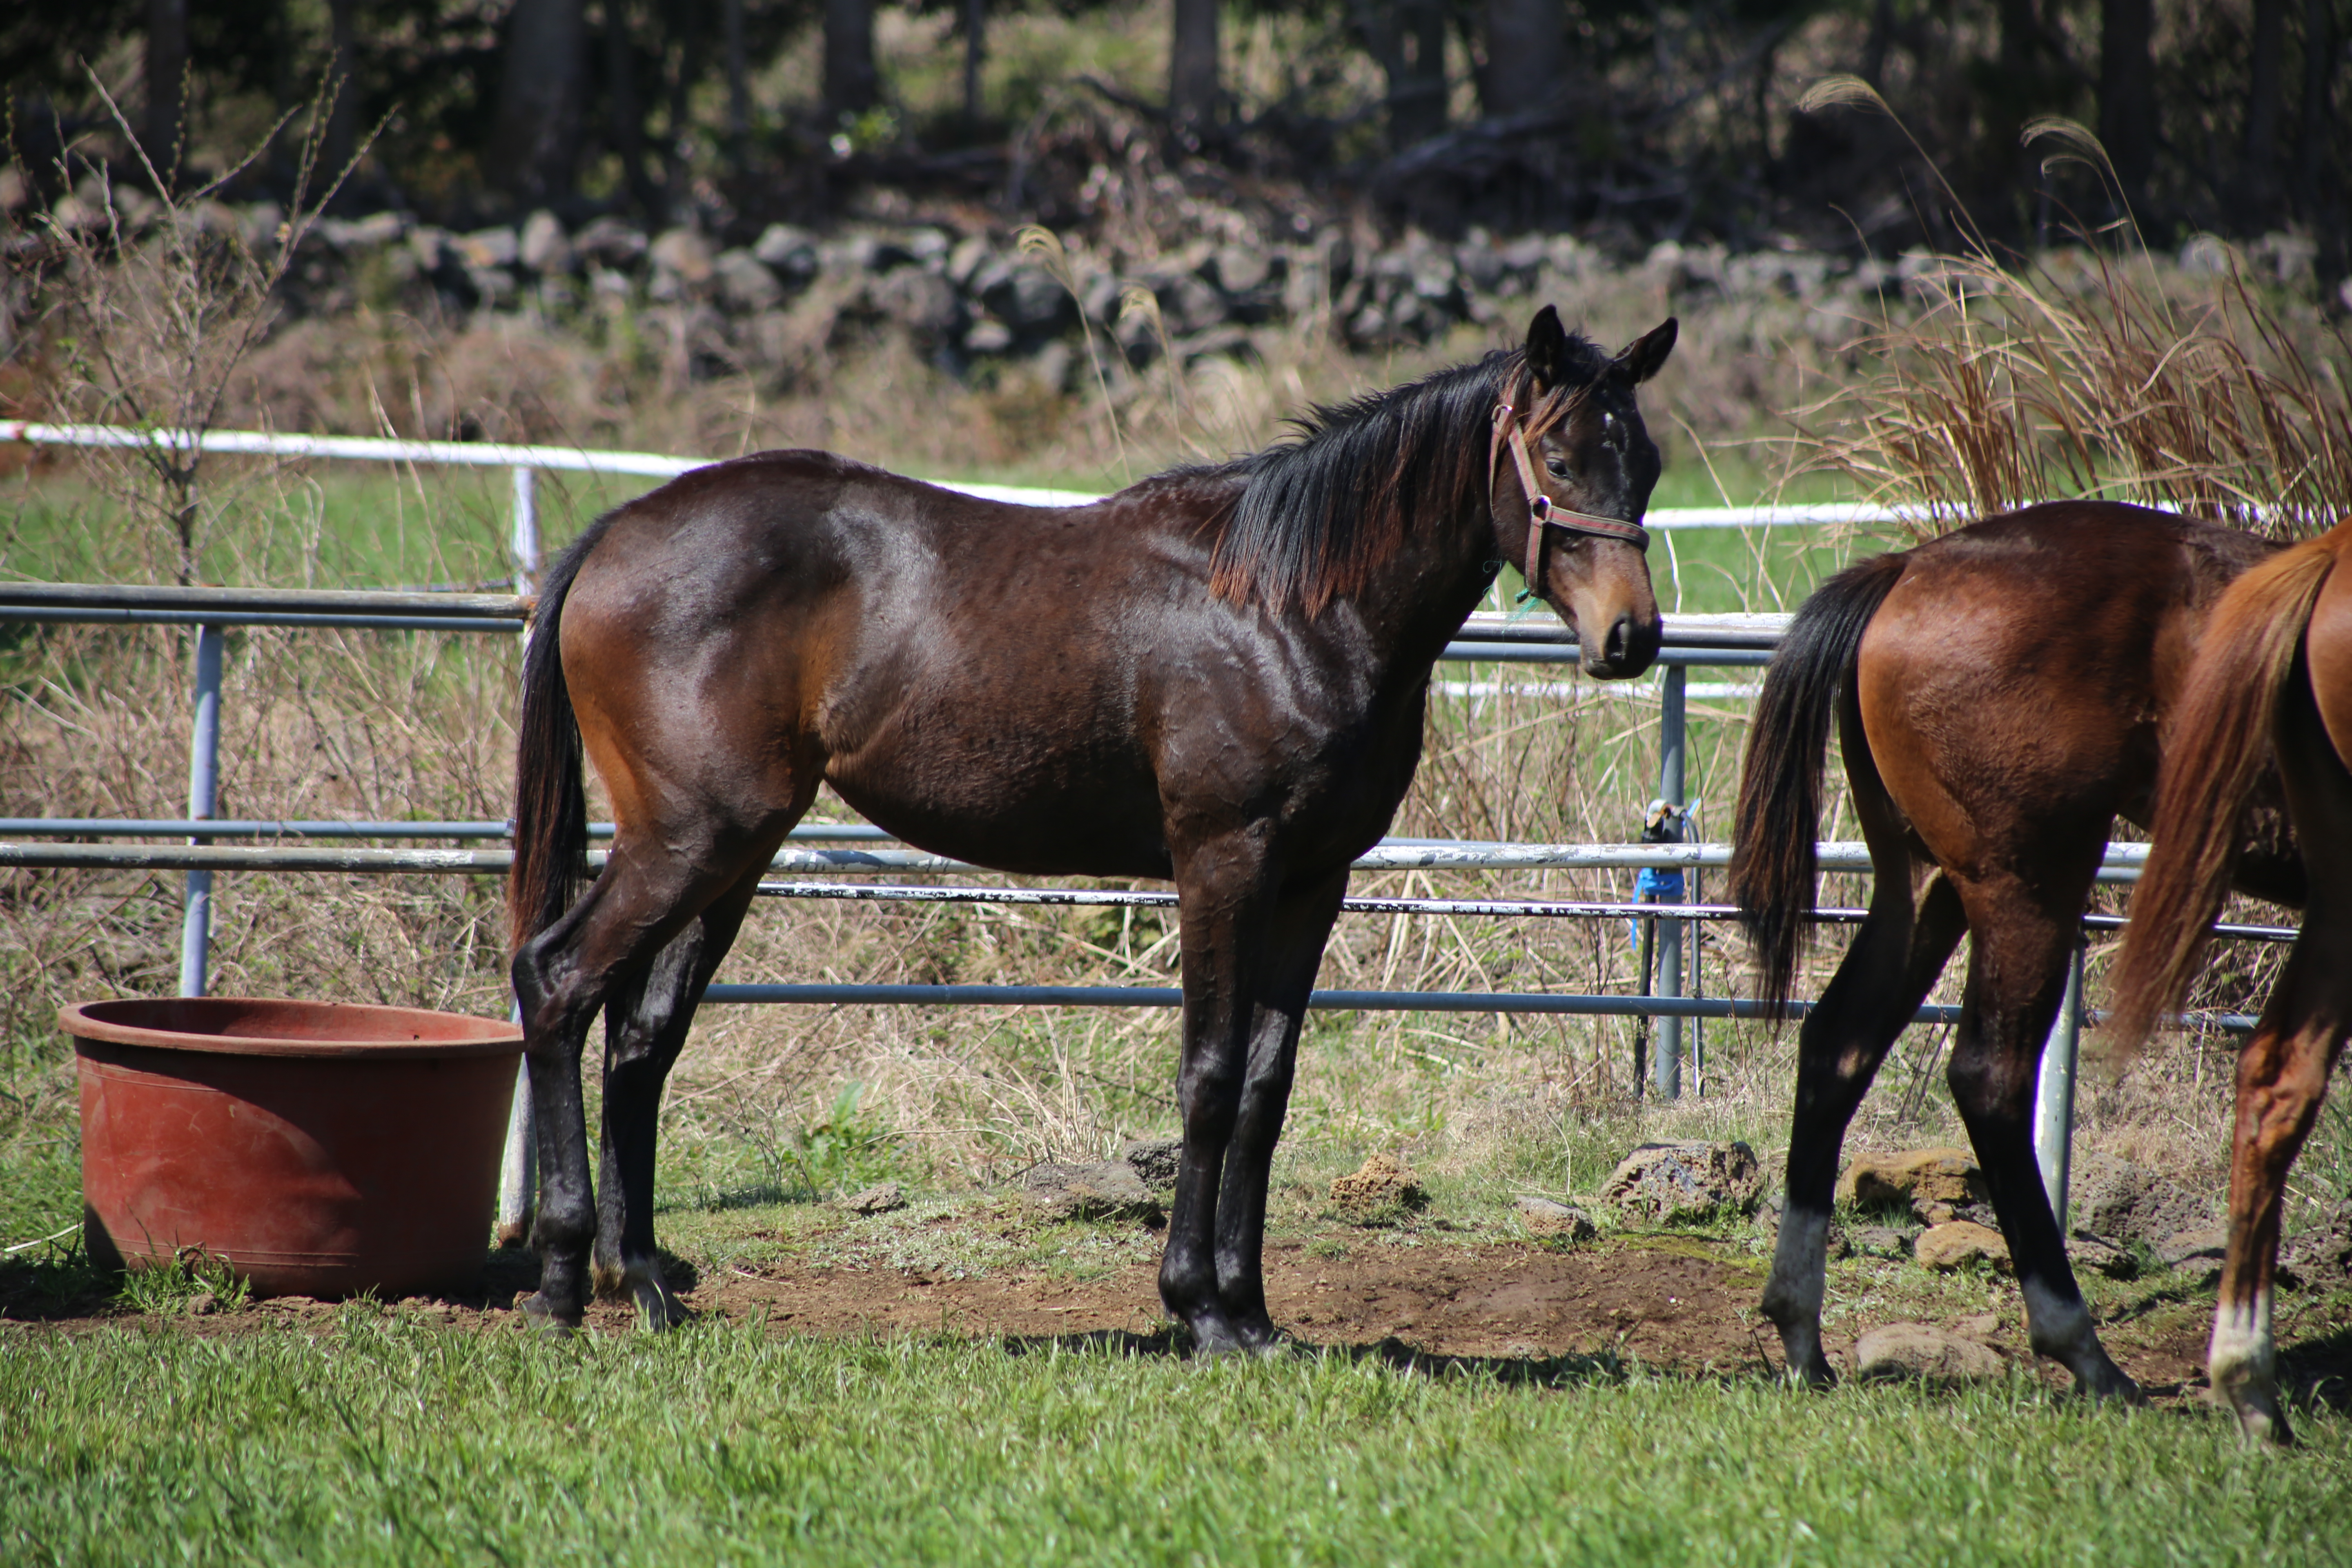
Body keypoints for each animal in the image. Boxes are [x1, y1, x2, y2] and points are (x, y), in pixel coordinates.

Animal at [510, 310, 1693, 1354]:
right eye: (1556, 454)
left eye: (1646, 463)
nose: (1631, 638)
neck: (1286, 608)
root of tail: (614, 536)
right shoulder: (1222, 862)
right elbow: (1207, 1079)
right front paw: (1198, 1309)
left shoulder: (1311, 883)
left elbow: (1263, 1090)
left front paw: (1253, 1313)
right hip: (690, 840)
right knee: (558, 982)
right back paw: (563, 1283)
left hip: (734, 852)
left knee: (641, 1036)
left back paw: (646, 1285)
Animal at [1731, 503, 2295, 1401]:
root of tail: (1909, 565)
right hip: (2027, 885)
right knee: (1989, 1075)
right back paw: (2083, 1350)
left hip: (1926, 886)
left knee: (1838, 1044)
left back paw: (1801, 1335)